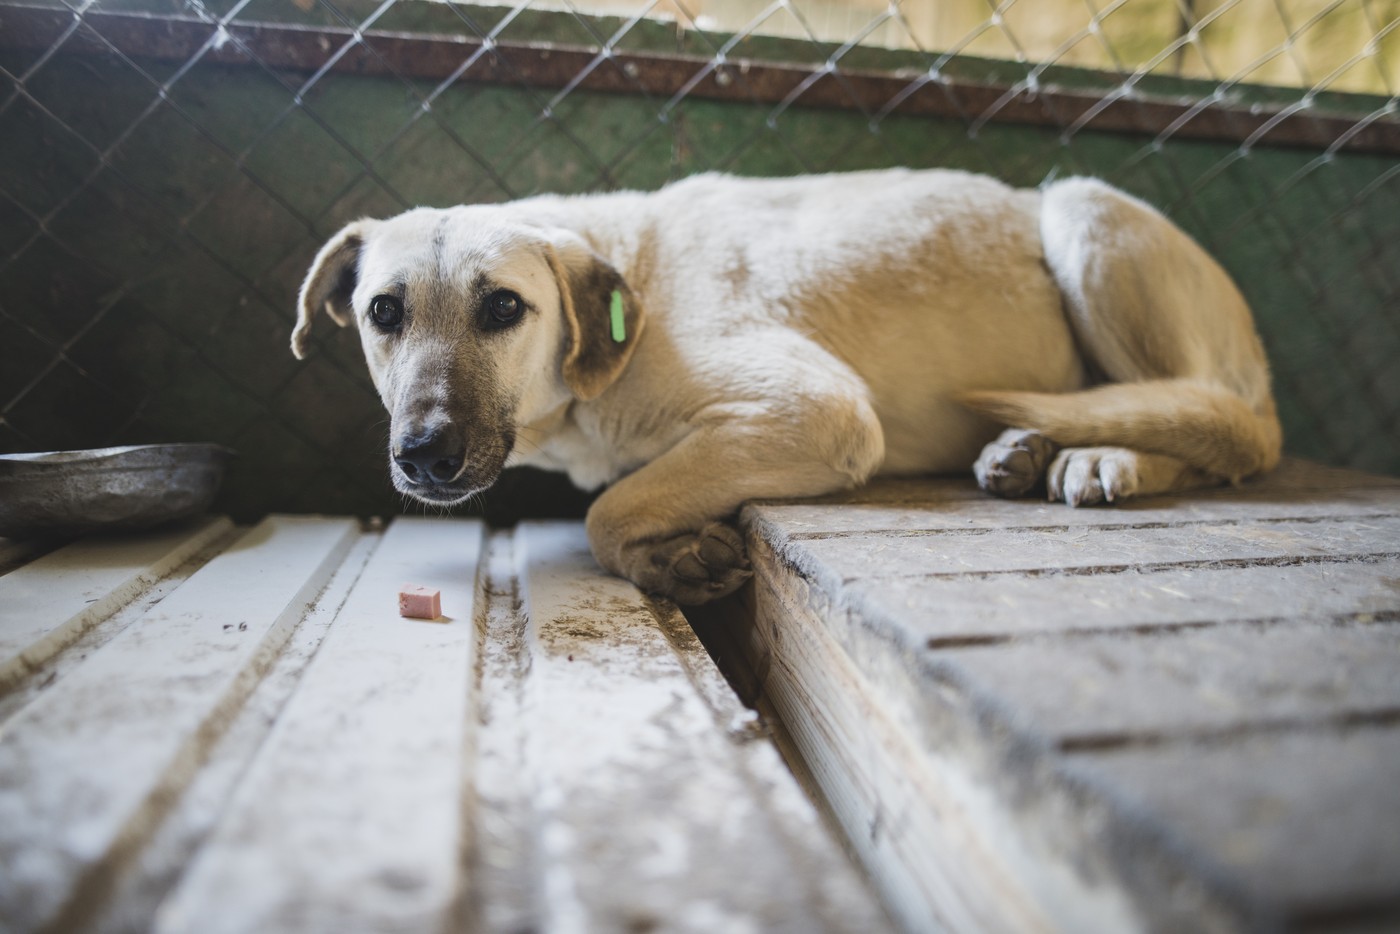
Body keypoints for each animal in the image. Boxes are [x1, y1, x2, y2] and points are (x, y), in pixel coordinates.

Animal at [292, 168, 1282, 607]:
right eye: (384, 312)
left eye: (503, 306)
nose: (424, 456)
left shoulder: (819, 412)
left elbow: (608, 512)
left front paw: (669, 557)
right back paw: (1026, 448)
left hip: (1083, 213)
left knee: (1224, 424)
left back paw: (1106, 454)